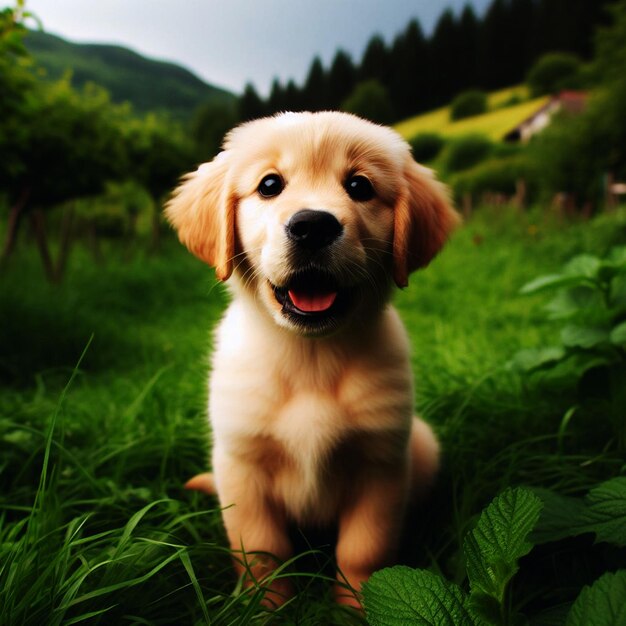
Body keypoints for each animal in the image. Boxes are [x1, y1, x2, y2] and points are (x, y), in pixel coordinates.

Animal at [166, 109, 456, 608]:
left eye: (360, 186)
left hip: (424, 445)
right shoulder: (242, 466)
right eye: (269, 184)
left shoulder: (380, 465)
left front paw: (357, 609)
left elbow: (363, 553)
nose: (313, 226)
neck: (310, 355)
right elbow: (263, 553)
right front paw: (269, 609)